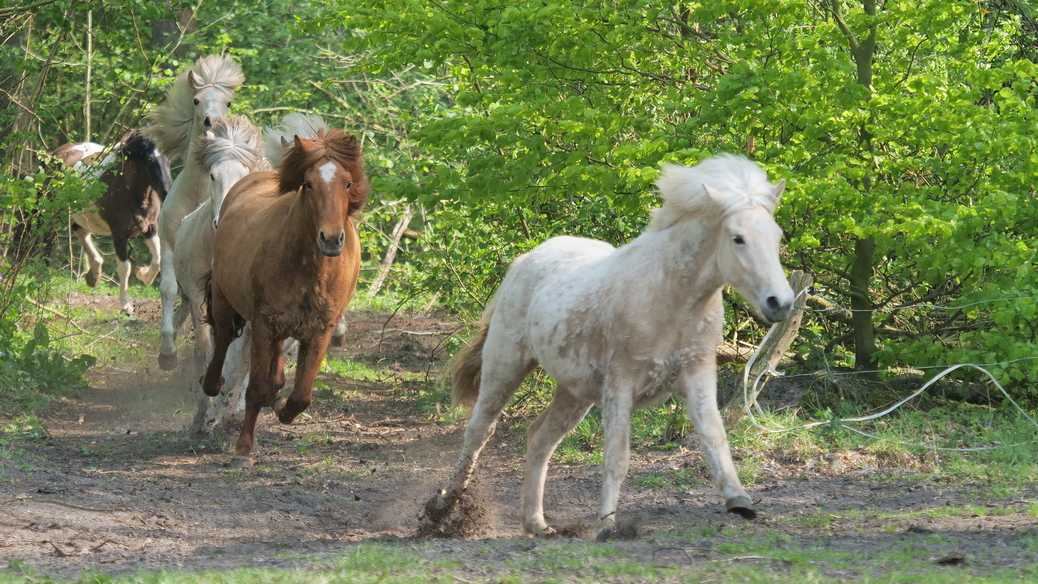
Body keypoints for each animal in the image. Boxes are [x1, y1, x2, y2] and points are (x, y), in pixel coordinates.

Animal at [56, 130, 172, 317]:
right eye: (149, 159)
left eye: (168, 158)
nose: (167, 191)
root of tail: (61, 151)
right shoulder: (119, 234)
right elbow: (124, 268)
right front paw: (126, 306)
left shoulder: (150, 227)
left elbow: (157, 260)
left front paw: (142, 274)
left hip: (83, 218)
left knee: (80, 232)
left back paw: (93, 277)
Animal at [172, 115, 265, 433]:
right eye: (213, 176)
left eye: (246, 178)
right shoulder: (199, 295)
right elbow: (204, 350)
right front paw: (201, 413)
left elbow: (233, 364)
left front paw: (212, 416)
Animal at [200, 124, 367, 466]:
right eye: (308, 184)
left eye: (347, 184)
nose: (331, 239)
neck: (310, 267)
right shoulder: (263, 324)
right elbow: (254, 390)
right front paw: (243, 449)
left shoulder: (320, 330)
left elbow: (301, 396)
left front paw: (282, 410)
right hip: (227, 301)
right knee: (223, 336)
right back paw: (213, 384)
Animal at [421, 154, 793, 539]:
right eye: (738, 238)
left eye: (777, 235)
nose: (780, 302)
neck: (671, 297)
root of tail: (524, 261)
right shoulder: (622, 383)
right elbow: (617, 457)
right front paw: (607, 525)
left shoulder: (697, 374)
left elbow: (715, 436)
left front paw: (740, 501)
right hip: (505, 367)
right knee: (479, 430)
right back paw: (441, 508)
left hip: (575, 393)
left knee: (539, 439)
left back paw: (536, 524)